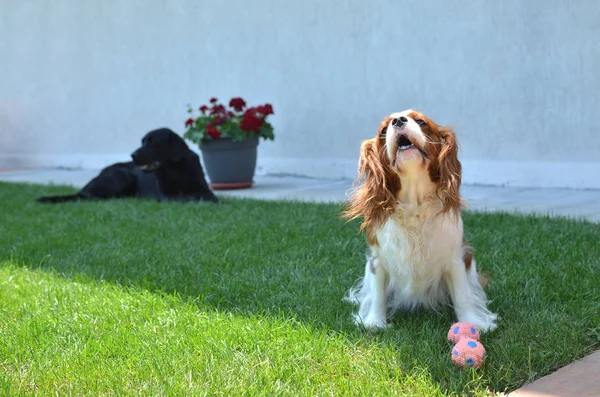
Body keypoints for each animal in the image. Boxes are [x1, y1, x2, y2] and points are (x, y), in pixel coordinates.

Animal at [36, 128, 218, 203]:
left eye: (153, 142)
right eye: (142, 141)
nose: (133, 155)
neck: (175, 170)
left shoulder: (203, 187)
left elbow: (206, 194)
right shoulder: (165, 195)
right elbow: (187, 196)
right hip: (123, 176)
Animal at [342, 109, 496, 332]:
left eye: (421, 122)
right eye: (383, 131)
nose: (398, 121)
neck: (414, 202)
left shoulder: (455, 258)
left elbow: (462, 295)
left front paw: (472, 322)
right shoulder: (378, 259)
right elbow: (378, 292)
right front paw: (375, 323)